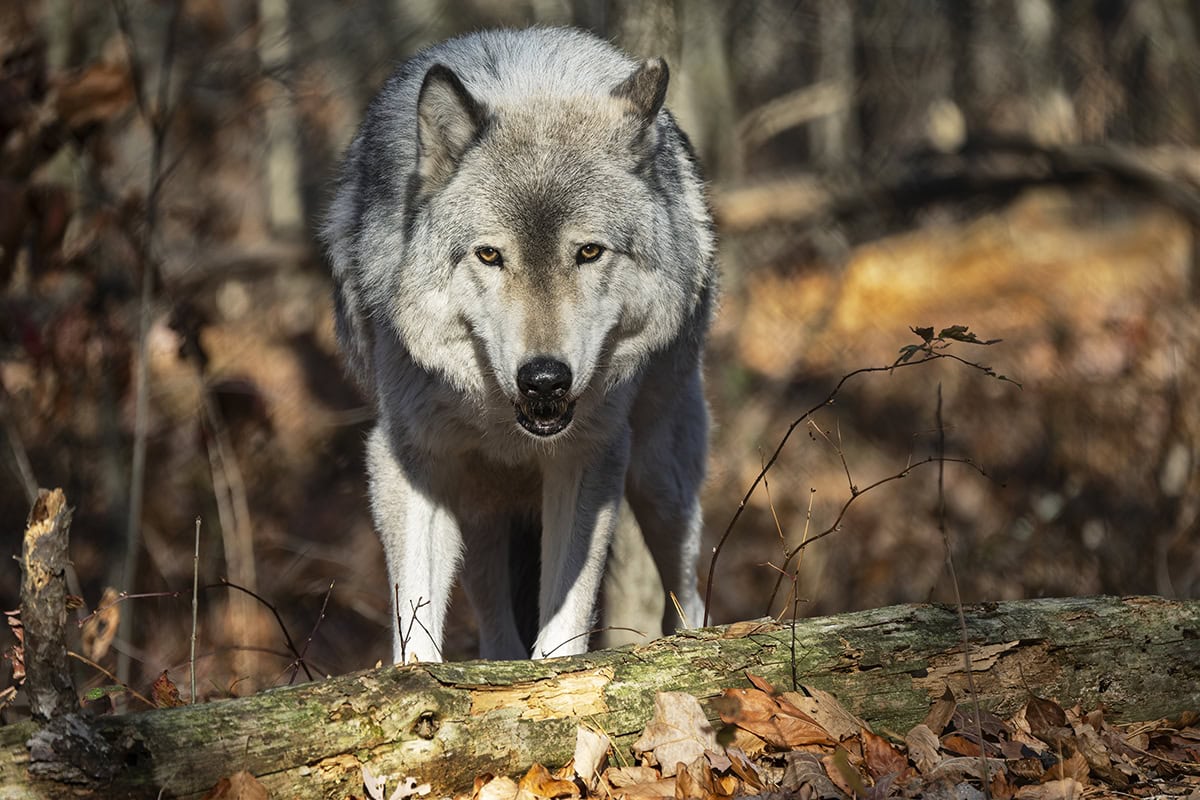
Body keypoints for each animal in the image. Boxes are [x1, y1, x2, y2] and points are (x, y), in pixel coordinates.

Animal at [323, 27, 717, 662]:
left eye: (588, 252)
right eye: (489, 255)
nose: (544, 380)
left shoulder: (587, 456)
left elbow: (564, 617)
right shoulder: (412, 458)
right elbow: (417, 624)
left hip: (660, 475)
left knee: (690, 594)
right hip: (482, 505)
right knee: (495, 622)